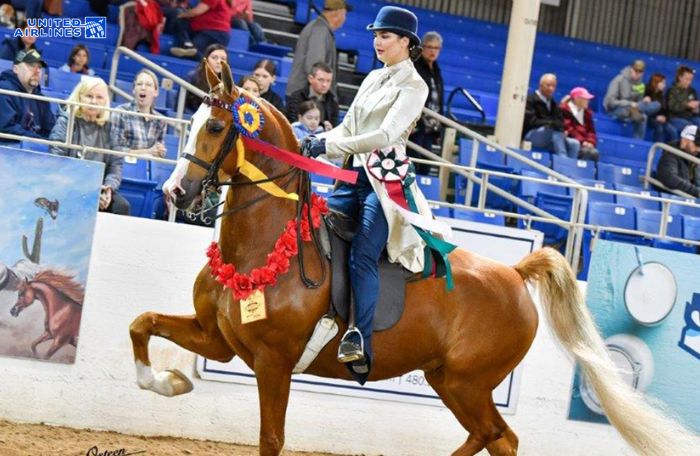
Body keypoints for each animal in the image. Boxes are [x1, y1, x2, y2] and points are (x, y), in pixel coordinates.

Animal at [129, 63, 697, 456]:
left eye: (215, 128)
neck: (265, 246)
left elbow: (271, 439)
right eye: (191, 121)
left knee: (497, 435)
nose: (175, 192)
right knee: (496, 437)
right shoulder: (219, 339)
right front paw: (168, 382)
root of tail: (514, 275)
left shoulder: (273, 361)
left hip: (468, 383)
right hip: (449, 380)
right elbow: (142, 324)